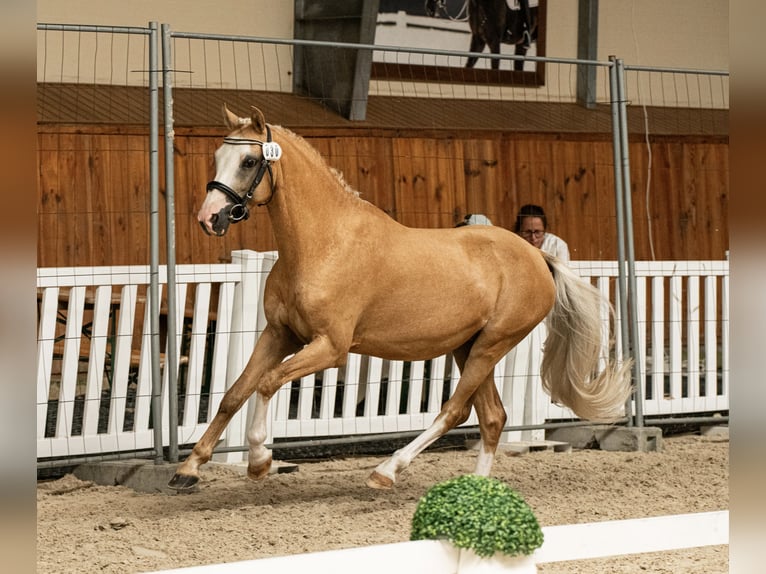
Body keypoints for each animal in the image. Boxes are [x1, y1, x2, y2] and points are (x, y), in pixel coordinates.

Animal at [171, 106, 632, 492]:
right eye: (217, 156)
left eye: (249, 161)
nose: (209, 217)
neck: (322, 245)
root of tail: (537, 256)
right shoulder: (279, 334)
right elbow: (235, 392)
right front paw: (188, 470)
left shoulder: (330, 348)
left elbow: (266, 383)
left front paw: (259, 460)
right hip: (468, 346)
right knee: (491, 417)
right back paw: (475, 492)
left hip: (492, 344)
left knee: (454, 411)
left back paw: (386, 470)